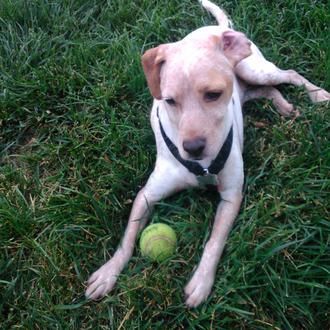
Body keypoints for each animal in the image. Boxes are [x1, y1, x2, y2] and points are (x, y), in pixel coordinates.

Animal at [85, 1, 330, 308]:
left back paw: (317, 94)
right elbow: (127, 238)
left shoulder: (231, 196)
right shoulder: (147, 195)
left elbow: (215, 241)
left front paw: (201, 282)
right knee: (266, 90)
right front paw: (109, 272)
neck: (201, 168)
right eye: (169, 101)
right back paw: (284, 106)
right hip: (249, 85)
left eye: (213, 94)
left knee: (288, 74)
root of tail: (219, 29)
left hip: (254, 68)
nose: (193, 148)